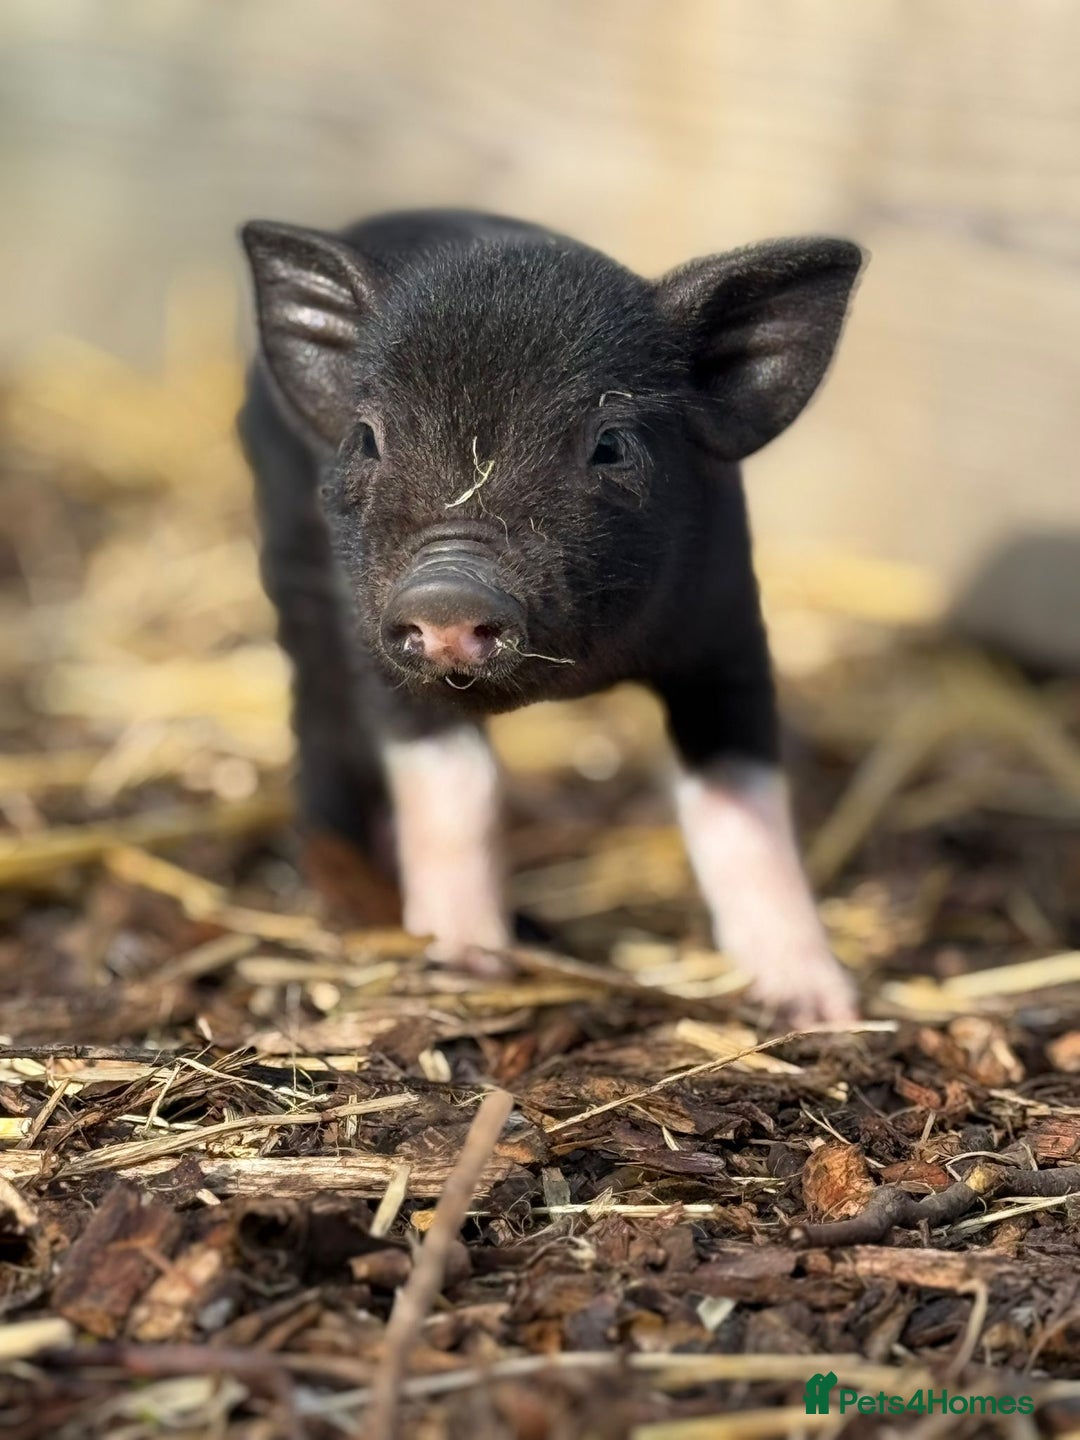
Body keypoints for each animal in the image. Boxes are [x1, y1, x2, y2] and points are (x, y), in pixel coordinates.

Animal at [237, 208, 864, 1025]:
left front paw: (821, 1009)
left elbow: (742, 804)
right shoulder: (383, 660)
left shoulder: (728, 634)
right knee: (316, 718)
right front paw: (466, 965)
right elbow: (457, 789)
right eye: (368, 438)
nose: (448, 593)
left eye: (610, 445)